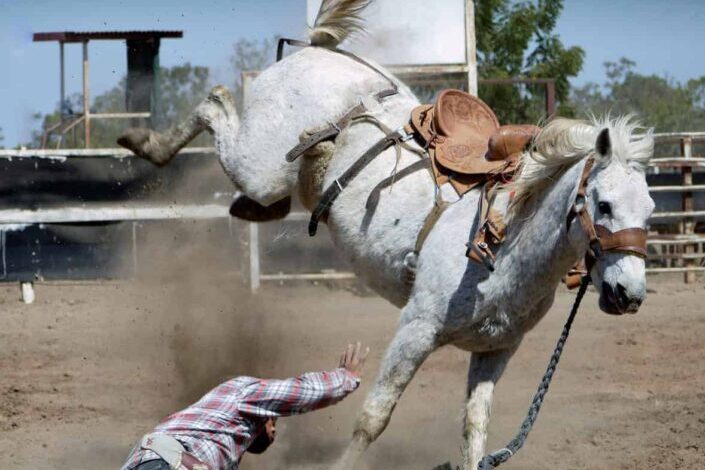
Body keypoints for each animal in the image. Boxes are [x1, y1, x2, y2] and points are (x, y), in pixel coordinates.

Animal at [117, 1, 656, 468]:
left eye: (650, 212)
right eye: (604, 204)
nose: (628, 294)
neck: (505, 246)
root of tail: (320, 50)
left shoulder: (495, 350)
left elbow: (474, 430)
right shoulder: (415, 329)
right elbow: (374, 418)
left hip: (273, 179)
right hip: (259, 165)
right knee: (215, 103)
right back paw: (144, 141)